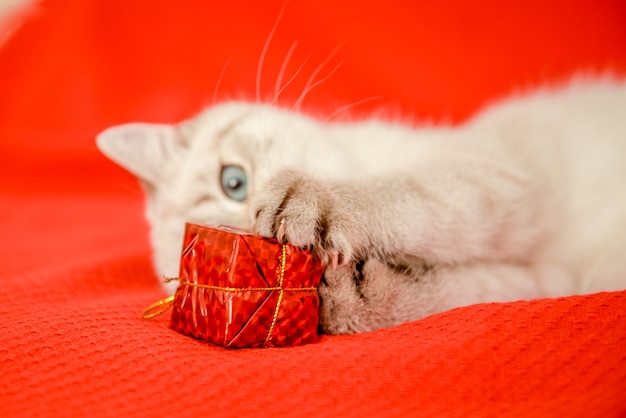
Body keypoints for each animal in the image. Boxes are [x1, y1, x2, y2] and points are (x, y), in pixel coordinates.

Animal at [95, 76, 624, 334]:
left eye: (235, 183)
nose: (256, 242)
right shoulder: (548, 278)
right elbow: (456, 292)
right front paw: (352, 298)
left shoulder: (503, 180)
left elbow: (409, 193)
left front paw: (315, 200)